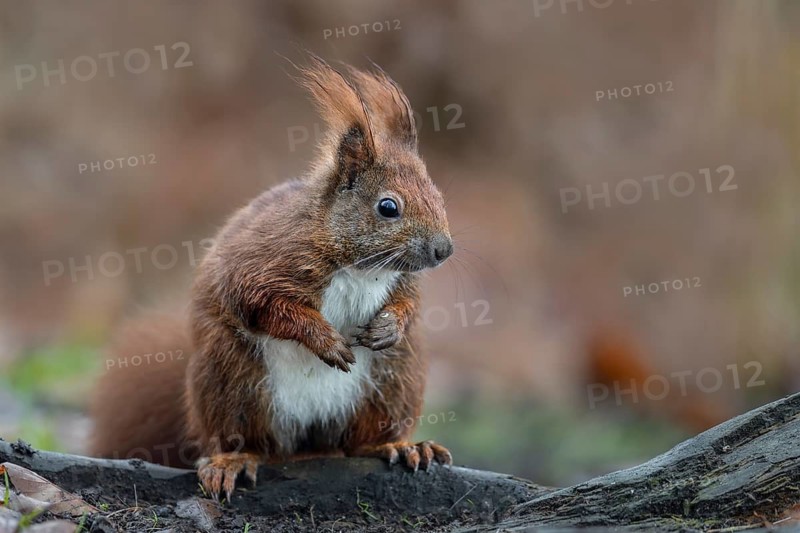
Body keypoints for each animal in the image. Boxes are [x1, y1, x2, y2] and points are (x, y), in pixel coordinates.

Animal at [89, 53, 455, 501]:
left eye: (438, 196)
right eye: (388, 207)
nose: (444, 250)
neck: (359, 267)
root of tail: (307, 449)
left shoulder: (401, 280)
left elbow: (409, 305)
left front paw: (389, 325)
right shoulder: (261, 265)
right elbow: (267, 306)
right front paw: (324, 339)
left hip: (394, 379)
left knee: (360, 441)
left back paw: (400, 446)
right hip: (231, 378)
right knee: (244, 439)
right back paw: (232, 461)